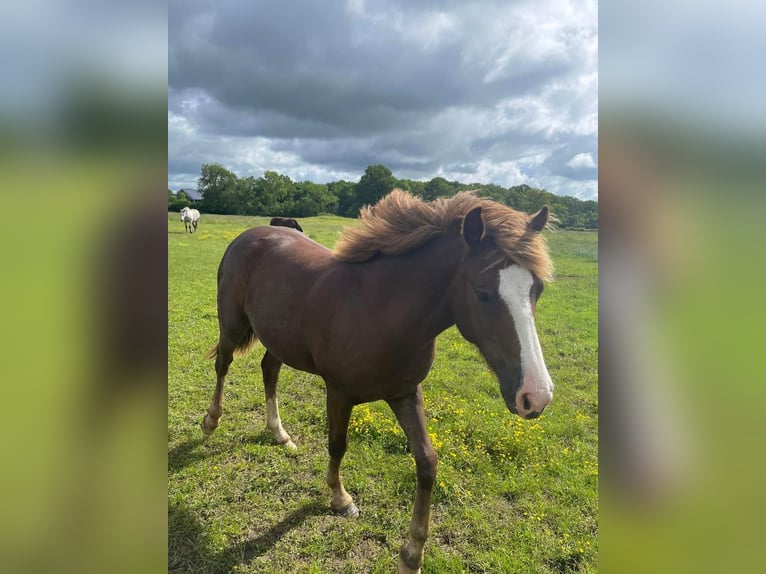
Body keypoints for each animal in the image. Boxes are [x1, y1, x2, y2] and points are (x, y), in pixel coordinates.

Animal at [201, 190, 556, 574]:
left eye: (537, 289)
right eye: (483, 293)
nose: (536, 396)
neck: (381, 313)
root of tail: (250, 234)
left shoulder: (405, 393)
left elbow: (427, 462)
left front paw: (412, 554)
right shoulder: (339, 392)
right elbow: (338, 445)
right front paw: (340, 499)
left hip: (278, 337)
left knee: (269, 369)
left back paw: (279, 433)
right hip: (232, 324)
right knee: (223, 363)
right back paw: (210, 422)